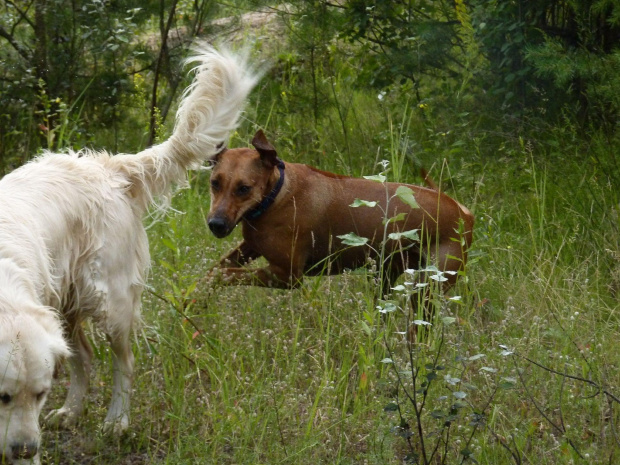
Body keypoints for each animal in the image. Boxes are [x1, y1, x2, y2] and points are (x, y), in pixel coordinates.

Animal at [0, 45, 256, 462]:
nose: (26, 449)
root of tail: (108, 164)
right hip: (68, 304)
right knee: (84, 356)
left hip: (108, 301)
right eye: (2, 397)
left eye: (39, 395)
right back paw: (71, 412)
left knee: (125, 362)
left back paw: (116, 422)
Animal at [206, 129, 472, 296]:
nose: (215, 224)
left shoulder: (287, 276)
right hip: (385, 276)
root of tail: (462, 211)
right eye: (214, 183)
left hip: (428, 287)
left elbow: (223, 274)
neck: (275, 195)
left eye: (244, 188)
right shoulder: (251, 245)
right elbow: (213, 271)